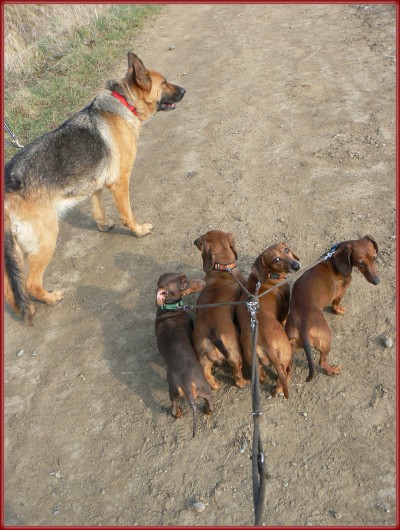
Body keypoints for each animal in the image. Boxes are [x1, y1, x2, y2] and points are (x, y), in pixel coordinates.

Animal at [5, 52, 185, 324]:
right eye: (163, 83)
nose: (185, 90)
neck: (125, 103)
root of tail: (8, 183)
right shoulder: (120, 181)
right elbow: (127, 214)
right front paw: (138, 230)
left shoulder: (97, 184)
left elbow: (98, 207)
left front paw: (103, 225)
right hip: (46, 239)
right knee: (30, 284)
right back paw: (50, 298)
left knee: (8, 291)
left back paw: (24, 309)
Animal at [155, 273, 213, 437]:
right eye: (182, 284)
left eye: (184, 277)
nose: (204, 282)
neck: (169, 310)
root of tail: (187, 385)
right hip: (205, 388)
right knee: (210, 404)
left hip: (174, 393)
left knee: (174, 409)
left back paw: (179, 413)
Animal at [192, 230, 249, 390]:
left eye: (201, 238)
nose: (194, 241)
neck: (223, 268)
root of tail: (212, 333)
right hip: (236, 354)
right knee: (237, 375)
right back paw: (245, 382)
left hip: (203, 360)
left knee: (207, 375)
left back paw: (215, 385)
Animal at [236, 243, 300, 399]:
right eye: (276, 259)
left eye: (286, 250)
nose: (296, 265)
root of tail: (267, 342)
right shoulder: (284, 310)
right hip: (286, 354)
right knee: (284, 374)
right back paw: (280, 388)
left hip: (253, 360)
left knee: (262, 376)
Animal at [285, 235, 382, 382]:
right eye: (361, 263)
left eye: (375, 258)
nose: (377, 281)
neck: (334, 258)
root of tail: (303, 326)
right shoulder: (340, 293)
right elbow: (336, 304)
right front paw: (338, 310)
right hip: (326, 341)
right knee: (322, 362)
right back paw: (332, 370)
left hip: (290, 347)